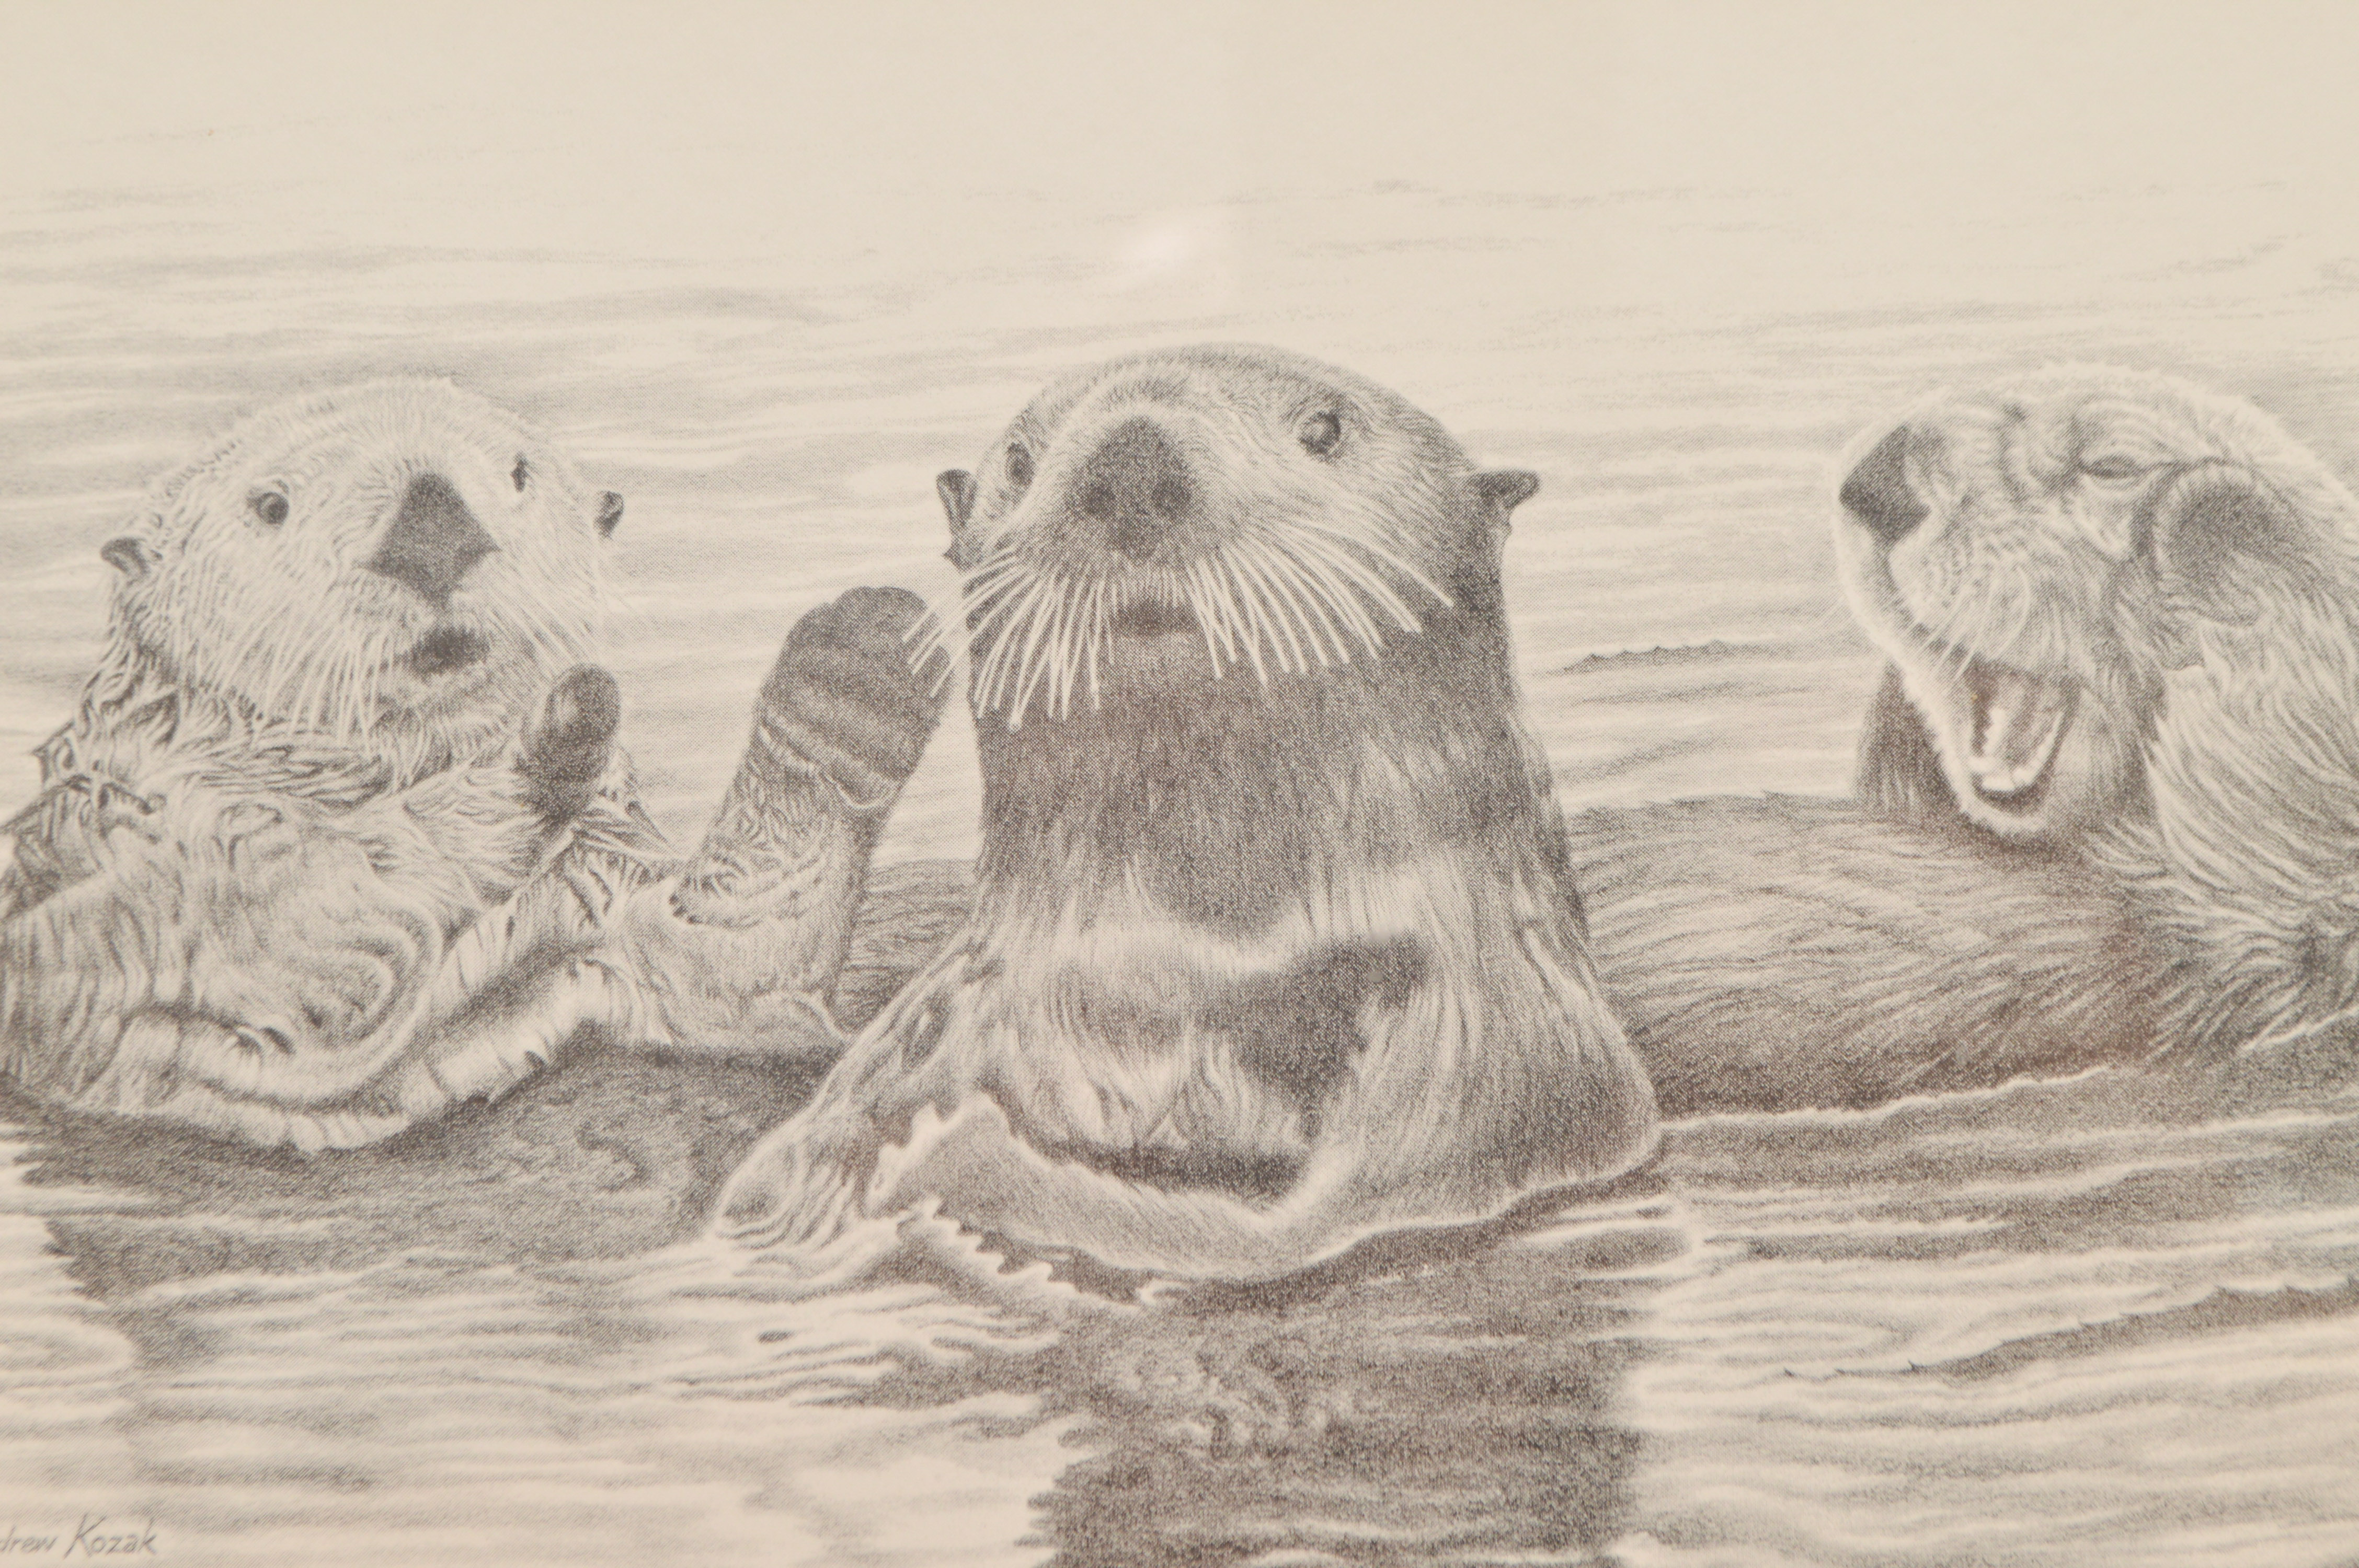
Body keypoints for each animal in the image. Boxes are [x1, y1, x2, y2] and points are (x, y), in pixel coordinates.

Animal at [0, 379, 945, 1151]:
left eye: (518, 474)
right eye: (270, 505)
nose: (433, 526)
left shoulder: (627, 925)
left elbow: (729, 957)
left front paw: (852, 675)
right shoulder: (129, 903)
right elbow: (304, 899)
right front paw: (557, 734)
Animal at [711, 345, 1658, 1279]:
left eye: (1325, 429)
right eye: (1018, 460)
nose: (1131, 464)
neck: (1183, 976)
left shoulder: (1493, 1047)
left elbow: (1297, 1227)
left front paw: (957, 1156)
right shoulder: (939, 1021)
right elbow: (780, 1172)